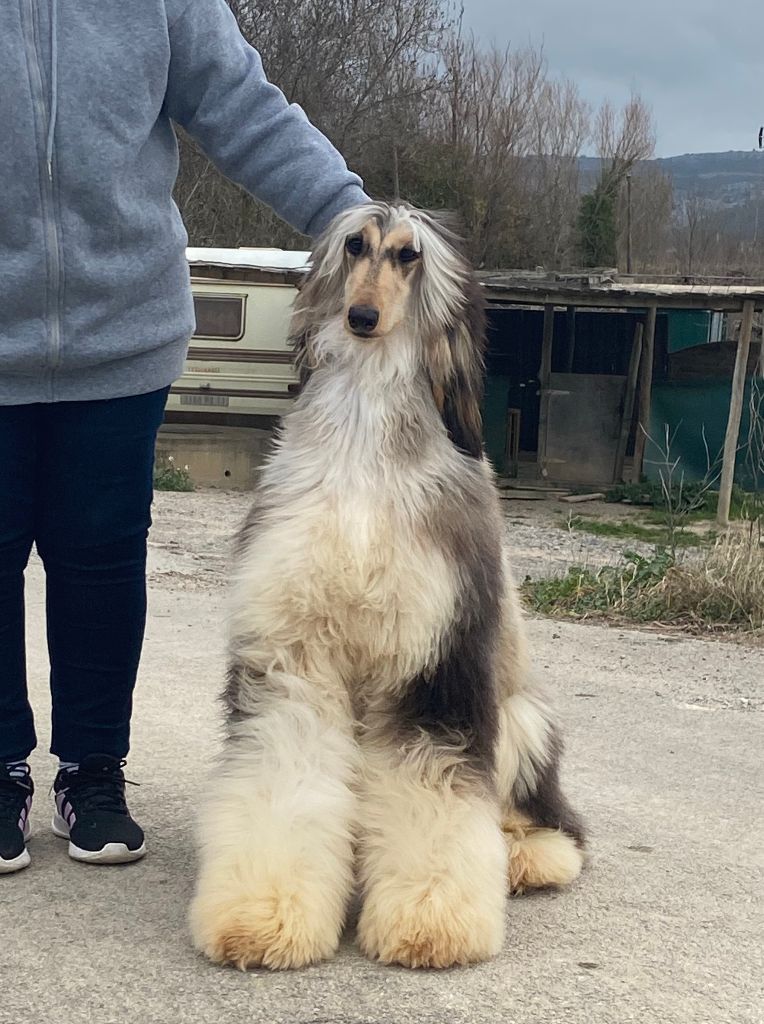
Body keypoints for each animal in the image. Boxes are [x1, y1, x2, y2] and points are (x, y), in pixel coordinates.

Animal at [189, 202, 584, 971]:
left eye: (408, 255)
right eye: (355, 245)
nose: (362, 317)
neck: (365, 436)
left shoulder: (434, 663)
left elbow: (433, 793)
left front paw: (433, 921)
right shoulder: (295, 654)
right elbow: (284, 775)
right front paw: (263, 911)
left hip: (521, 720)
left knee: (551, 822)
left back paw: (528, 857)